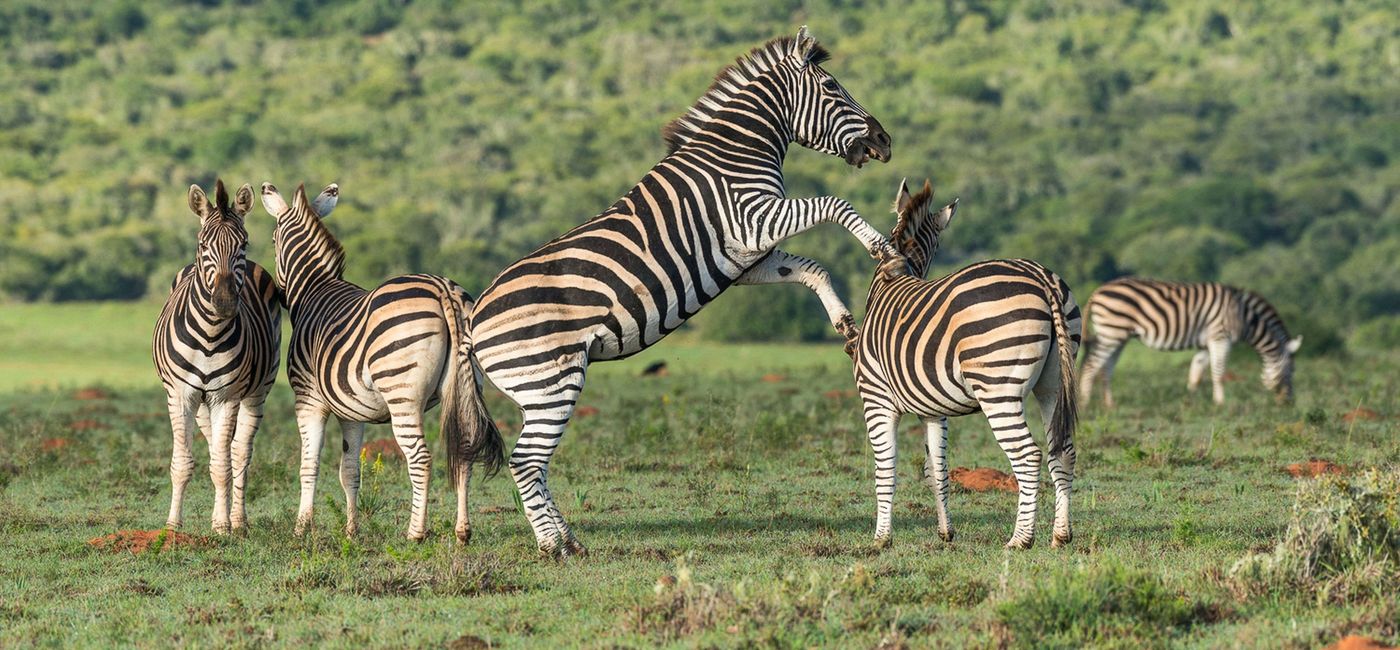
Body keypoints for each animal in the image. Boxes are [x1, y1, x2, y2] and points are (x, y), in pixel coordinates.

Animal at [153, 180, 281, 535]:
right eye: (202, 244)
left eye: (244, 244)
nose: (223, 303)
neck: (210, 334)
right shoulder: (180, 394)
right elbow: (183, 463)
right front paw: (172, 526)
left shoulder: (227, 396)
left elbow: (224, 464)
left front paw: (223, 526)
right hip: (201, 401)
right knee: (213, 447)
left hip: (257, 391)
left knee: (238, 452)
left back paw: (238, 520)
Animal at [260, 182, 503, 543]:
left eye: (274, 241)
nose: (279, 296)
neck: (314, 288)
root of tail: (443, 289)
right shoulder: (351, 410)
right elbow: (349, 470)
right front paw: (351, 530)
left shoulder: (308, 398)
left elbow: (309, 464)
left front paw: (302, 528)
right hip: (465, 387)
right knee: (465, 450)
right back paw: (462, 531)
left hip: (402, 394)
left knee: (420, 458)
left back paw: (415, 532)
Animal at [470, 27, 897, 556]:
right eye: (833, 87)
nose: (885, 141)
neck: (739, 152)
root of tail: (472, 321)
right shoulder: (752, 220)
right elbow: (833, 203)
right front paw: (881, 247)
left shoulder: (746, 256)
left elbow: (811, 268)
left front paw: (844, 322)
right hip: (551, 381)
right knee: (526, 461)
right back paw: (555, 547)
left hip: (539, 391)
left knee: (535, 464)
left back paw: (569, 540)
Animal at [851, 180, 1081, 549]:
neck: (892, 278)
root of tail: (1040, 277)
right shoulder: (933, 410)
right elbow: (936, 471)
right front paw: (946, 533)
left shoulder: (876, 399)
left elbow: (885, 470)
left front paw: (881, 539)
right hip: (1054, 383)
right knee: (1063, 451)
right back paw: (1060, 535)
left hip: (997, 388)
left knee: (1029, 456)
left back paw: (1020, 539)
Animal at [1078, 277, 1302, 406]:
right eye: (1291, 371)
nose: (1289, 403)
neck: (1245, 317)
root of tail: (1097, 291)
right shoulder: (1220, 337)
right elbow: (1218, 372)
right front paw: (1220, 403)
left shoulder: (1206, 344)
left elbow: (1196, 374)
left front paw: (1190, 403)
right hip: (1111, 332)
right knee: (1091, 364)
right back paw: (1085, 402)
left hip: (1119, 336)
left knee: (1106, 367)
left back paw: (1110, 404)